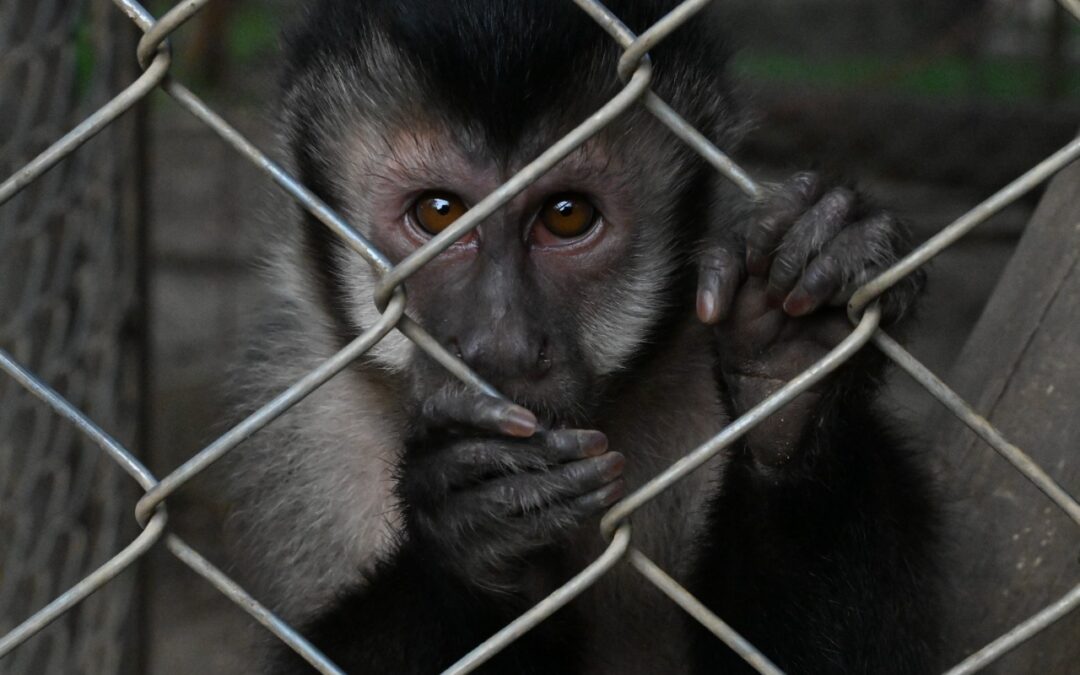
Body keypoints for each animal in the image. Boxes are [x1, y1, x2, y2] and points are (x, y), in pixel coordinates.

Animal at [223, 1, 941, 673]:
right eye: (438, 213)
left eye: (567, 216)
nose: (502, 347)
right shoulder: (314, 441)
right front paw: (464, 539)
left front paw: (792, 367)